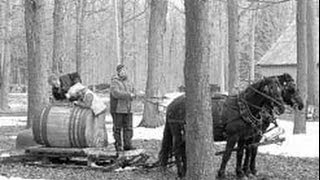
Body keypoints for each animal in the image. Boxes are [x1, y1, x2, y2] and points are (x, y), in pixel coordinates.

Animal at [159, 73, 304, 177]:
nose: (281, 107)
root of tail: (171, 104)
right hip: (177, 131)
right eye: (290, 89)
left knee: (184, 150)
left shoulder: (245, 136)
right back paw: (181, 172)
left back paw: (186, 169)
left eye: (281, 89)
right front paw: (222, 173)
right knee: (177, 150)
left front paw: (242, 172)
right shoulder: (235, 136)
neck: (244, 108)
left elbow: (243, 152)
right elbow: (230, 154)